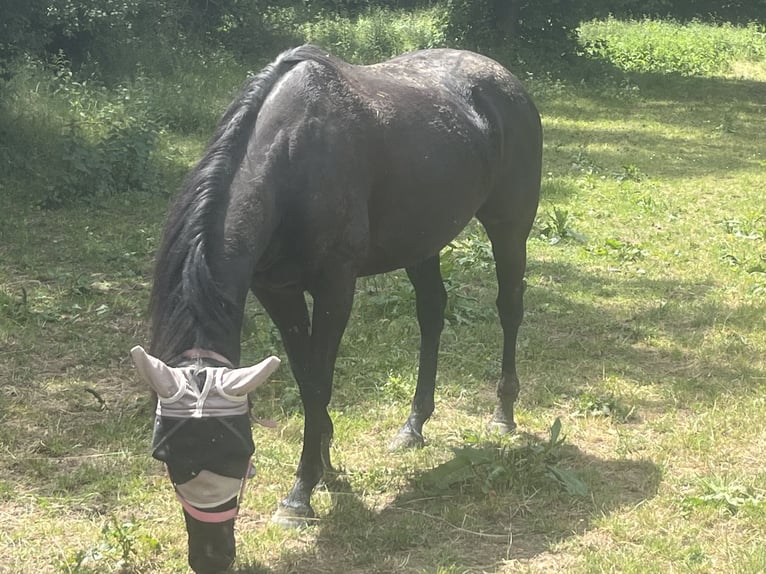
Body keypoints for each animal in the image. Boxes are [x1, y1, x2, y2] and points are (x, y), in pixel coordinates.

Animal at [130, 44, 541, 574]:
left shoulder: (334, 288)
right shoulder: (277, 290)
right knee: (431, 314)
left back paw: (503, 413)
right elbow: (305, 374)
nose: (211, 557)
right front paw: (324, 458)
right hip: (421, 242)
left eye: (241, 450)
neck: (292, 158)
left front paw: (301, 492)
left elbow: (319, 382)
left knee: (509, 308)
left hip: (510, 226)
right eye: (165, 454)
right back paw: (414, 426)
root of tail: (502, 76)